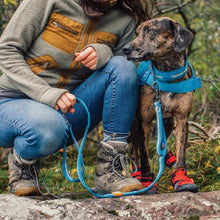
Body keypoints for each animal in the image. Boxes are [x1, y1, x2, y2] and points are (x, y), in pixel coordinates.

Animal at [123, 17, 199, 192]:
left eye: (149, 30)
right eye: (137, 32)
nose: (125, 49)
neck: (167, 74)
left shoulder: (182, 119)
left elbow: (181, 153)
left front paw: (181, 178)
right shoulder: (143, 122)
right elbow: (144, 155)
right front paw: (147, 182)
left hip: (167, 122)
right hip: (133, 123)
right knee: (134, 151)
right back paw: (136, 173)